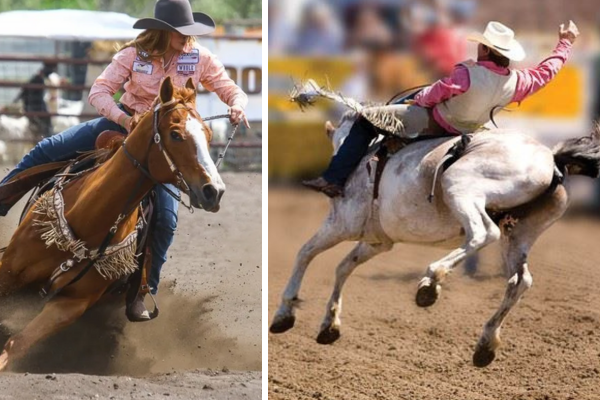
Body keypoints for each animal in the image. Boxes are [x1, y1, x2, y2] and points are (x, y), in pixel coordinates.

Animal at [0, 76, 225, 370]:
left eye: (208, 136)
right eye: (175, 134)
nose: (214, 191)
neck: (88, 217)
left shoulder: (71, 304)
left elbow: (18, 342)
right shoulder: (9, 271)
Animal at [270, 113, 600, 368]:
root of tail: (551, 159)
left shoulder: (340, 224)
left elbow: (304, 253)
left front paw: (284, 314)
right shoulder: (378, 241)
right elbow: (343, 267)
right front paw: (329, 325)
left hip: (461, 187)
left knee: (483, 233)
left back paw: (431, 281)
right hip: (519, 235)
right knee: (519, 281)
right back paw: (485, 344)